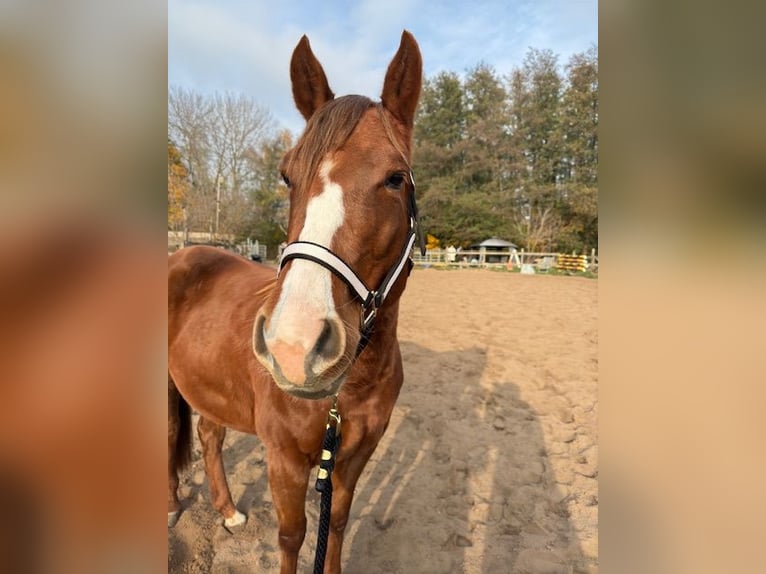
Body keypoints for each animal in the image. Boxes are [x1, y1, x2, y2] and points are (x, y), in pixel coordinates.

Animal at [166, 31, 426, 574]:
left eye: (395, 177)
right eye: (287, 176)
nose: (293, 345)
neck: (347, 391)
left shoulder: (353, 458)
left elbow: (337, 526)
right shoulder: (284, 460)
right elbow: (293, 535)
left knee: (209, 436)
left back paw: (227, 511)